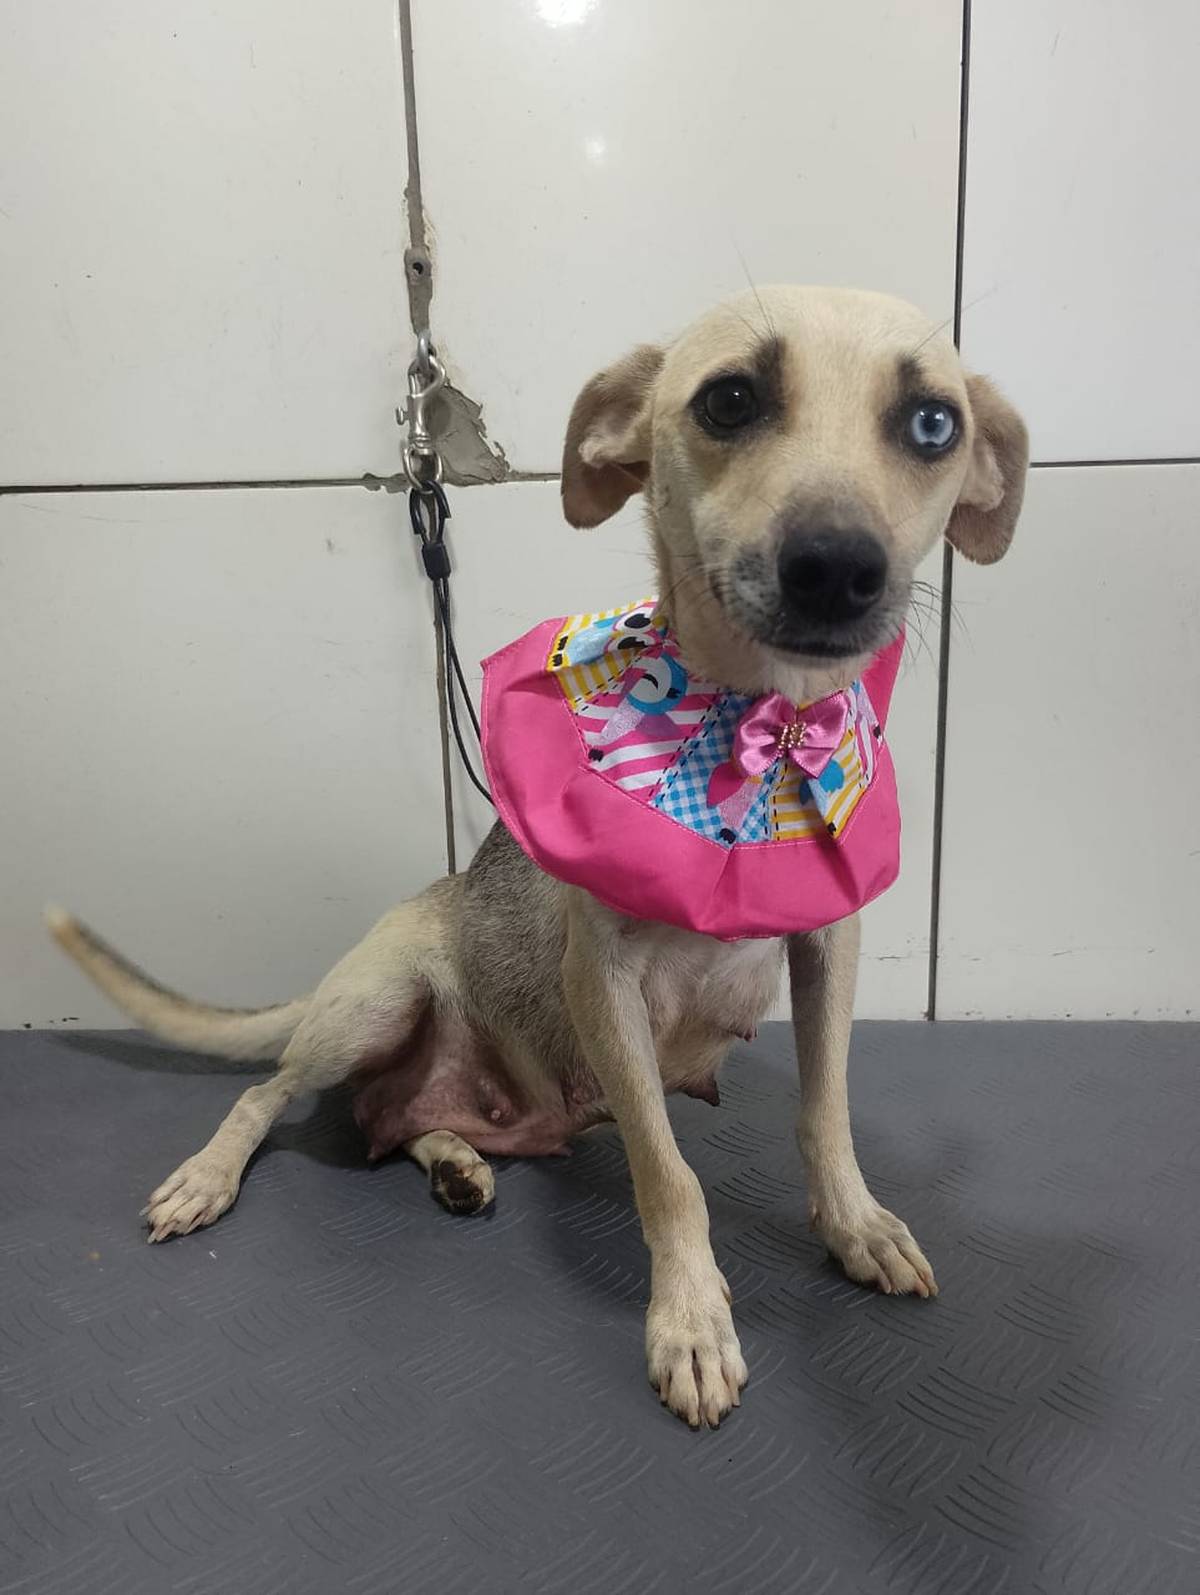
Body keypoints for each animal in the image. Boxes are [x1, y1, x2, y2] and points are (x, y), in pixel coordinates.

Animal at [49, 285, 1027, 1429]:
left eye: (934, 423)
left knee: (392, 1117)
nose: (837, 566)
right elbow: (670, 1174)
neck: (760, 727)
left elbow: (823, 1114)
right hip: (375, 1003)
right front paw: (691, 1320)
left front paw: (856, 1224)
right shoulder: (603, 984)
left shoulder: (828, 949)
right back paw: (213, 1174)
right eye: (730, 399)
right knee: (269, 1094)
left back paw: (456, 1159)